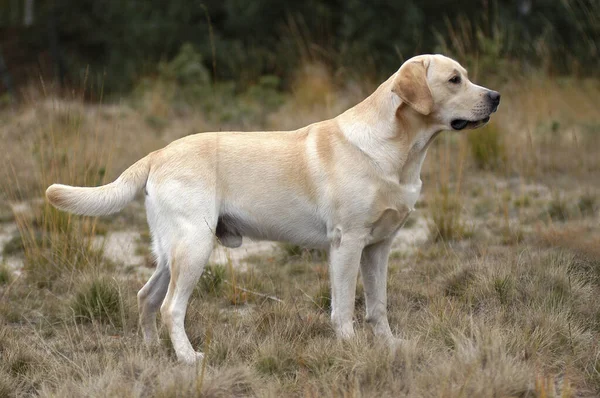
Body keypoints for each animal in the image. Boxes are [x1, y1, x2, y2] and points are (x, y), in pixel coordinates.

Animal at [45, 53, 496, 364]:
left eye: (466, 75)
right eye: (454, 79)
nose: (496, 97)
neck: (397, 152)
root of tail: (158, 153)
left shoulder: (379, 247)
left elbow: (377, 307)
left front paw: (388, 347)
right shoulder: (347, 243)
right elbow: (343, 309)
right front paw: (350, 349)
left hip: (172, 252)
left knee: (146, 297)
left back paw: (155, 353)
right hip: (195, 246)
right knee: (172, 307)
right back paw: (188, 358)